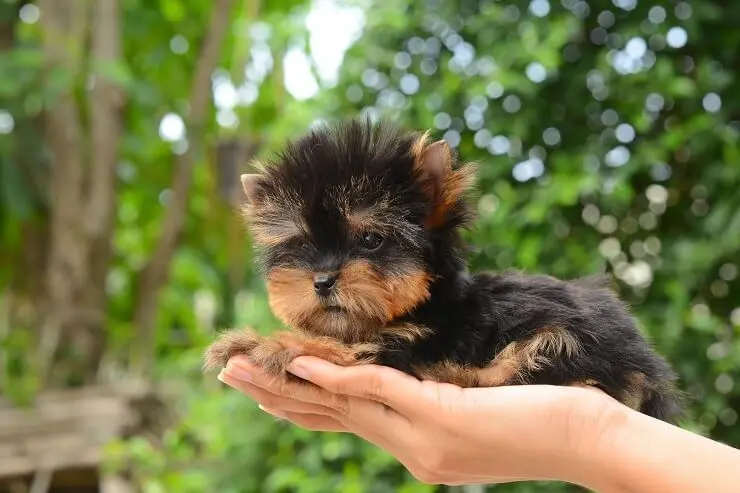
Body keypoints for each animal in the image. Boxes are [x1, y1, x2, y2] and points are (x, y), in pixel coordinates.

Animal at [201, 117, 684, 420]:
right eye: (302, 246)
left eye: (370, 240)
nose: (321, 280)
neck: (424, 302)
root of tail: (647, 366)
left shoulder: (411, 339)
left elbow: (346, 348)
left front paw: (266, 343)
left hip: (571, 336)